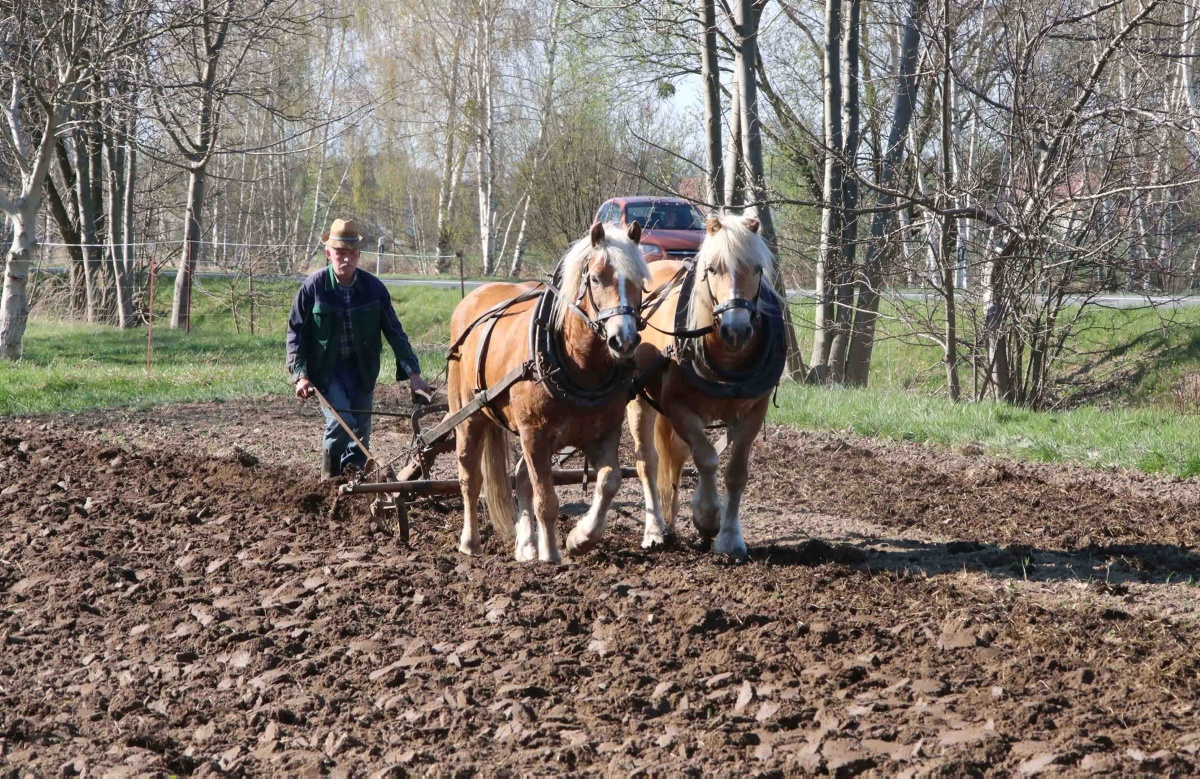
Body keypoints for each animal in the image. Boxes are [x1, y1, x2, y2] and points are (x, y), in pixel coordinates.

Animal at [448, 222, 652, 561]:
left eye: (639, 282)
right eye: (596, 278)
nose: (623, 340)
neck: (579, 366)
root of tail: (470, 298)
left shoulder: (604, 431)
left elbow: (609, 481)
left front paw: (580, 538)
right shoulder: (534, 434)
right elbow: (546, 500)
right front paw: (552, 555)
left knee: (520, 477)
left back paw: (527, 546)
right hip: (469, 415)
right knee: (470, 477)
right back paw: (470, 542)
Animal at [628, 212, 787, 559]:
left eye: (757, 269)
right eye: (713, 269)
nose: (736, 330)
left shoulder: (753, 411)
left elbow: (735, 472)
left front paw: (730, 538)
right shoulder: (678, 407)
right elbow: (707, 458)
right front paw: (706, 517)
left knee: (675, 457)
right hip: (639, 401)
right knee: (648, 462)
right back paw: (654, 531)